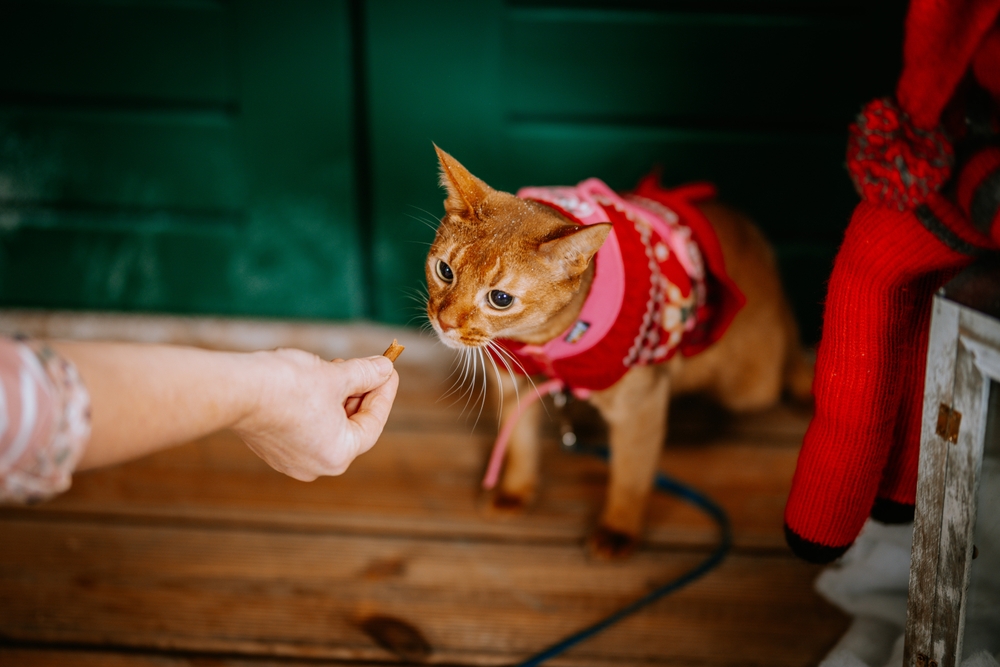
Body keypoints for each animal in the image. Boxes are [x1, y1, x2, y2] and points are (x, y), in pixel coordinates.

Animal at [424, 145, 812, 560]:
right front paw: (515, 492)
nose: (444, 321)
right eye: (444, 270)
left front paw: (618, 530)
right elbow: (518, 441)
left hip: (752, 381)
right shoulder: (514, 379)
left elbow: (631, 472)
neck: (547, 345)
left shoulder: (639, 405)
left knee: (787, 344)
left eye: (500, 299)